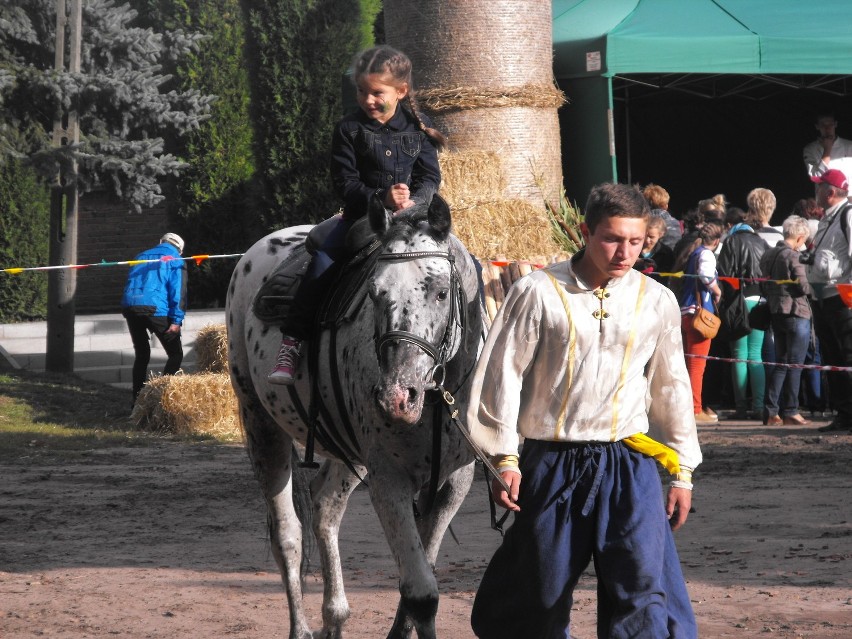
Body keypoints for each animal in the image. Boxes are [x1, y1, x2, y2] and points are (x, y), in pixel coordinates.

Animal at [223, 196, 482, 639]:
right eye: (375, 294)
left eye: (441, 292)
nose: (397, 397)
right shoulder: (388, 481)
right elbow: (421, 593)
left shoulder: (454, 483)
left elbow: (422, 576)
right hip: (262, 426)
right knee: (288, 536)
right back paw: (302, 627)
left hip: (348, 452)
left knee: (325, 505)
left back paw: (335, 615)